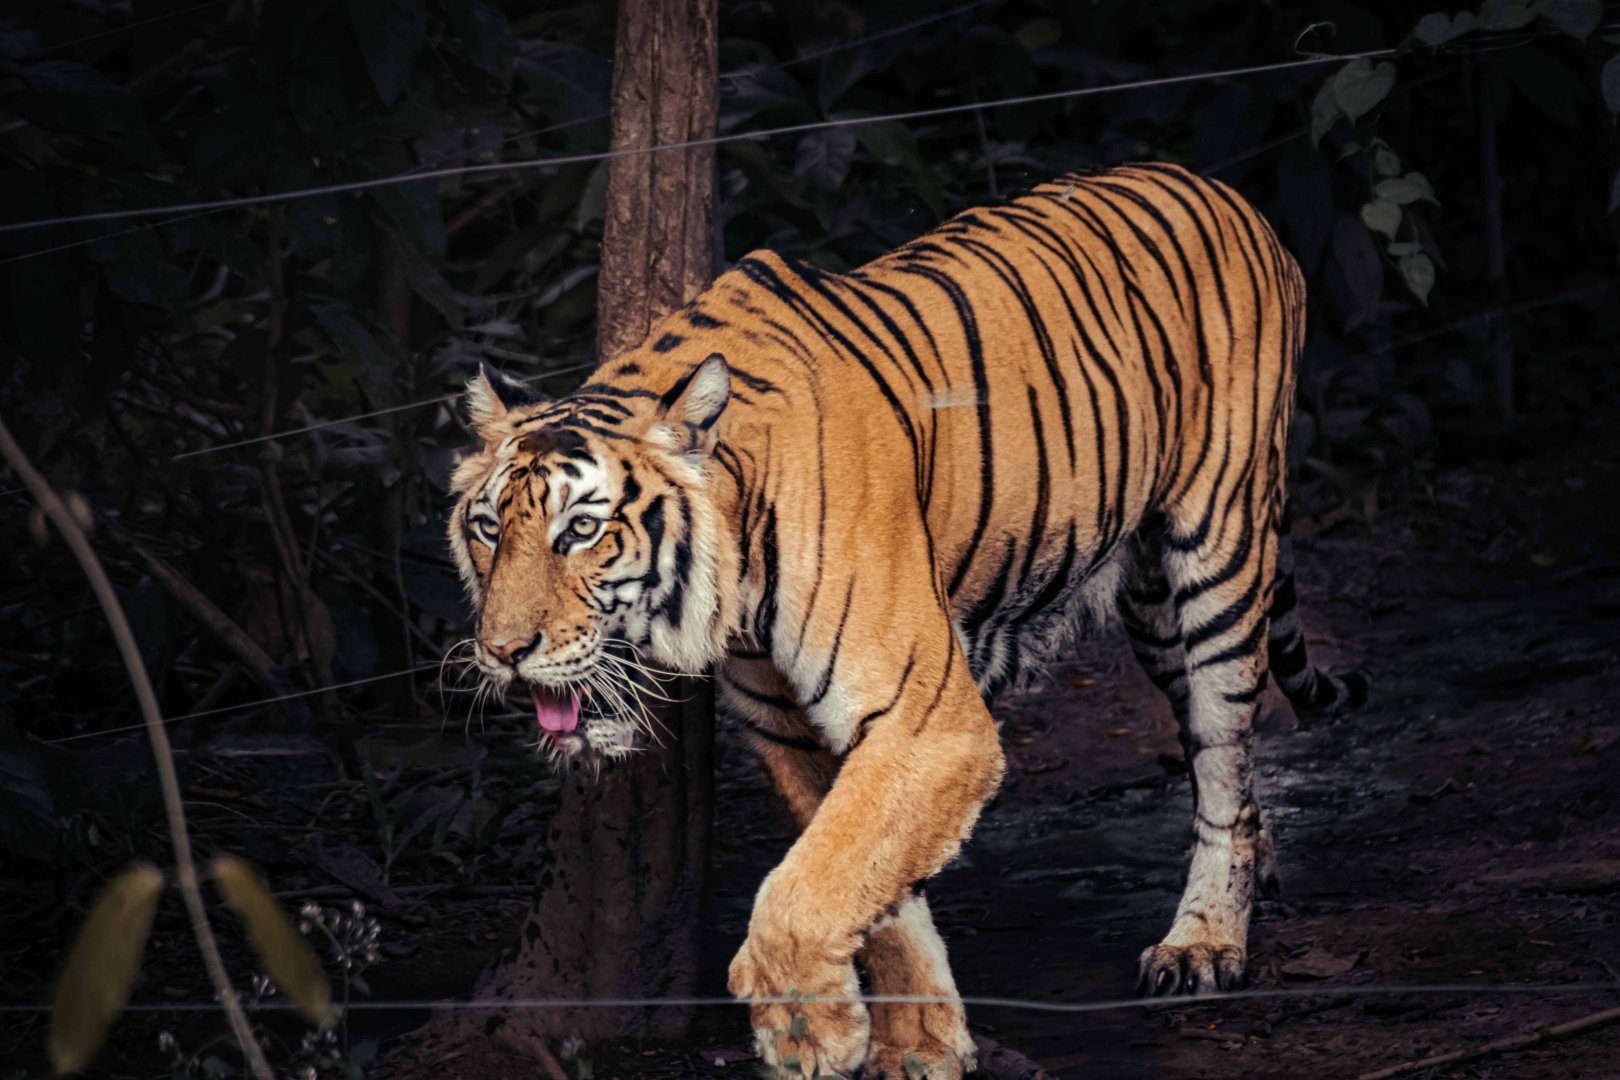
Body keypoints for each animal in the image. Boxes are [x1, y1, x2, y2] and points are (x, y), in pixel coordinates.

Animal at [447, 162, 1368, 1079]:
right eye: (489, 528)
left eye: (581, 530)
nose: (503, 651)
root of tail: (1220, 187)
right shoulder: (790, 724)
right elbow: (868, 875)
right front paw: (919, 1042)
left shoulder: (926, 717)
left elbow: (811, 882)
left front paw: (805, 1030)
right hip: (1147, 599)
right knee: (1223, 753)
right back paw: (1254, 864)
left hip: (1218, 542)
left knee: (1223, 743)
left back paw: (1205, 942)